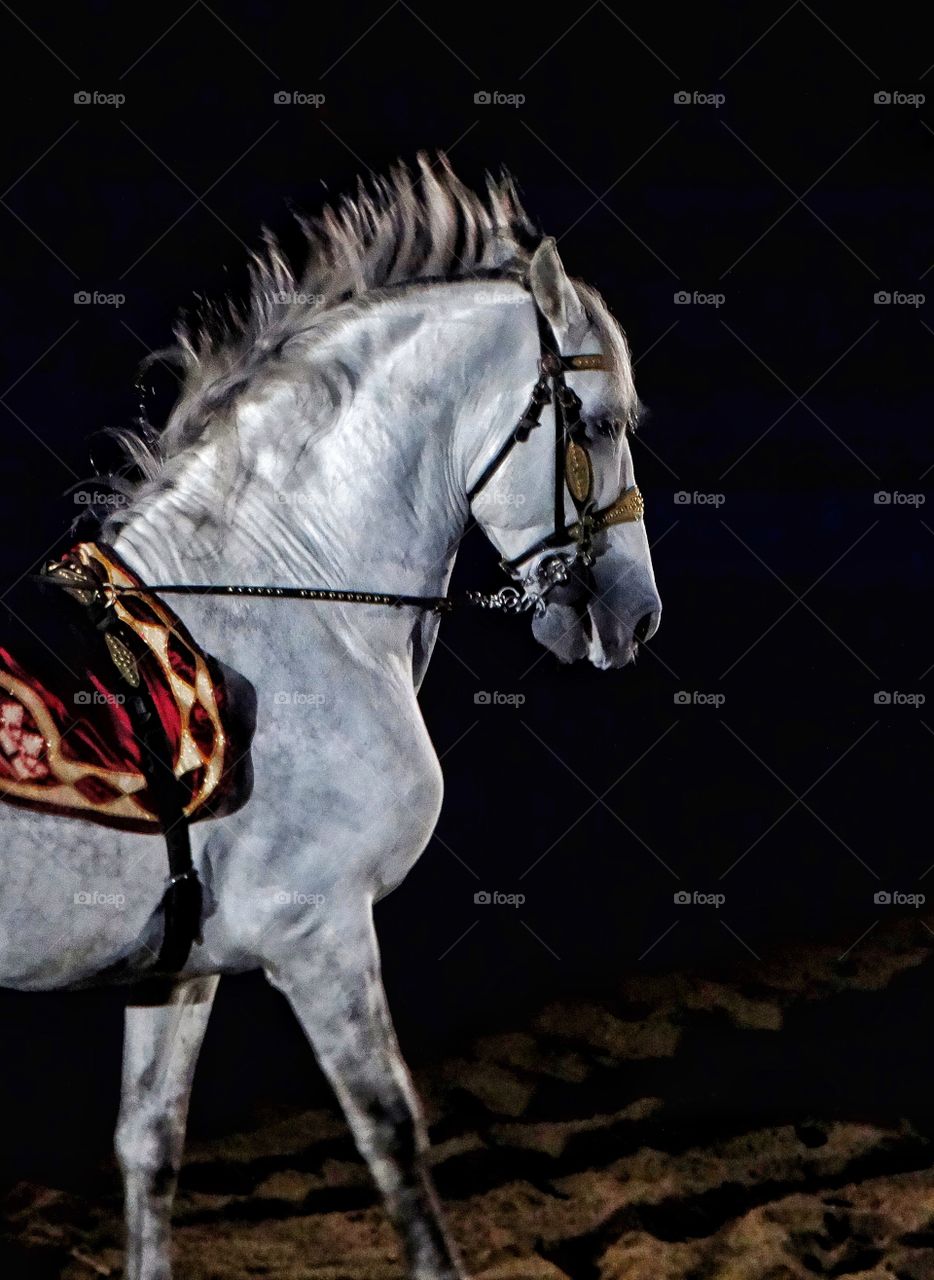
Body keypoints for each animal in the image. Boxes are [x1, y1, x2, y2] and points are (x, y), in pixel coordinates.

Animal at [0, 155, 661, 1280]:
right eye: (604, 423)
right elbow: (391, 1134)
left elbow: (148, 1148)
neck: (283, 594)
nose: (636, 613)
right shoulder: (321, 933)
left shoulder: (179, 971)